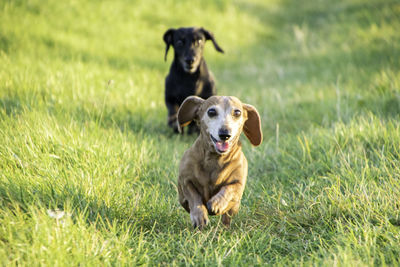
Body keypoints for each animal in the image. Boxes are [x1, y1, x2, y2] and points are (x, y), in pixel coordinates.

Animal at [177, 95, 262, 229]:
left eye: (237, 112)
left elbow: (228, 189)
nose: (225, 134)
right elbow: (194, 197)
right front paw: (199, 216)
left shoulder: (238, 184)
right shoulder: (185, 181)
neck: (215, 159)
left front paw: (217, 203)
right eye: (211, 112)